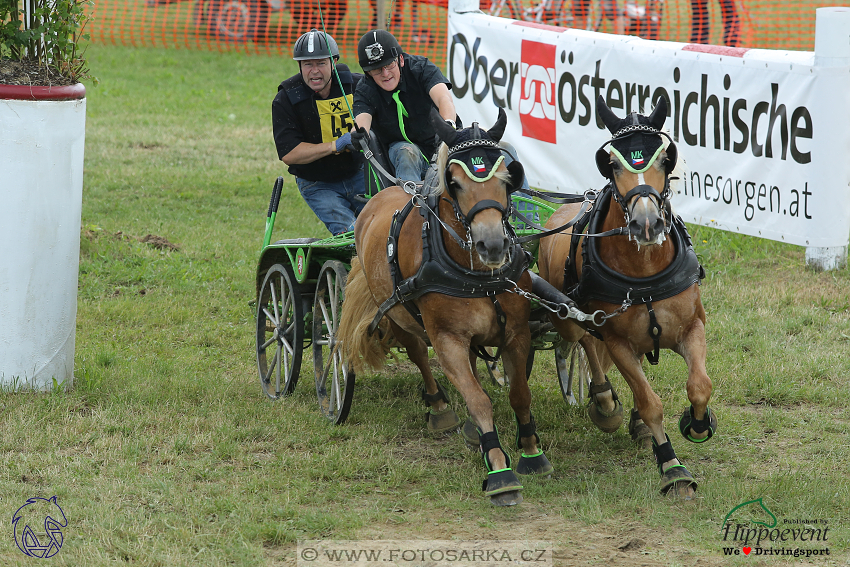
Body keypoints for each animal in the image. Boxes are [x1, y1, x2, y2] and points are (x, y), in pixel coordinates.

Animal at [334, 110, 552, 506]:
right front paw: (499, 471)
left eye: (507, 177)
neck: (476, 274)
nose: (492, 245)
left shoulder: (516, 332)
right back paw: (439, 407)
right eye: (455, 183)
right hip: (398, 313)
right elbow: (479, 400)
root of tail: (381, 194)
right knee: (419, 354)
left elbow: (518, 393)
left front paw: (531, 452)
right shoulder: (447, 338)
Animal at [540, 97, 712, 502]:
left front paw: (697, 423)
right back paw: (604, 403)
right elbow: (650, 402)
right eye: (613, 163)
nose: (646, 224)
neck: (644, 271)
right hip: (570, 321)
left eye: (665, 159)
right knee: (585, 345)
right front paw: (672, 469)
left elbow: (699, 386)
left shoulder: (692, 327)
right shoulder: (618, 340)